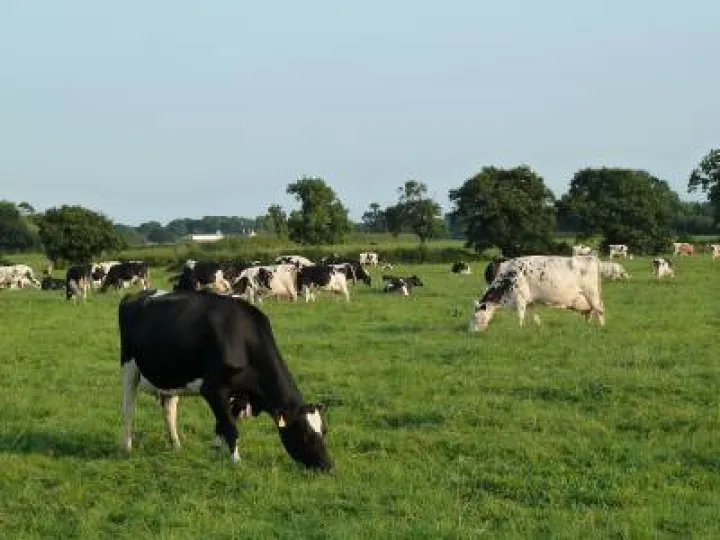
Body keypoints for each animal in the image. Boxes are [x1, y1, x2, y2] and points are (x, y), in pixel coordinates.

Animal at [117, 289, 333, 470]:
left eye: (324, 431)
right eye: (305, 435)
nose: (328, 466)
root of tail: (135, 295)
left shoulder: (238, 394)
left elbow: (223, 423)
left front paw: (219, 451)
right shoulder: (213, 390)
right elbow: (230, 426)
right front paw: (236, 461)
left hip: (171, 377)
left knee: (169, 410)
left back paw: (176, 445)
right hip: (129, 366)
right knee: (128, 409)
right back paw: (126, 447)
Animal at [470, 255, 605, 332]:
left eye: (475, 316)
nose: (472, 332)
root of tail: (591, 258)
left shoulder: (520, 298)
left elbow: (520, 316)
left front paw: (519, 328)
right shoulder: (530, 302)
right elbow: (535, 316)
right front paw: (539, 327)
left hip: (592, 293)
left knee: (599, 309)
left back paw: (602, 327)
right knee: (589, 312)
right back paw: (586, 326)